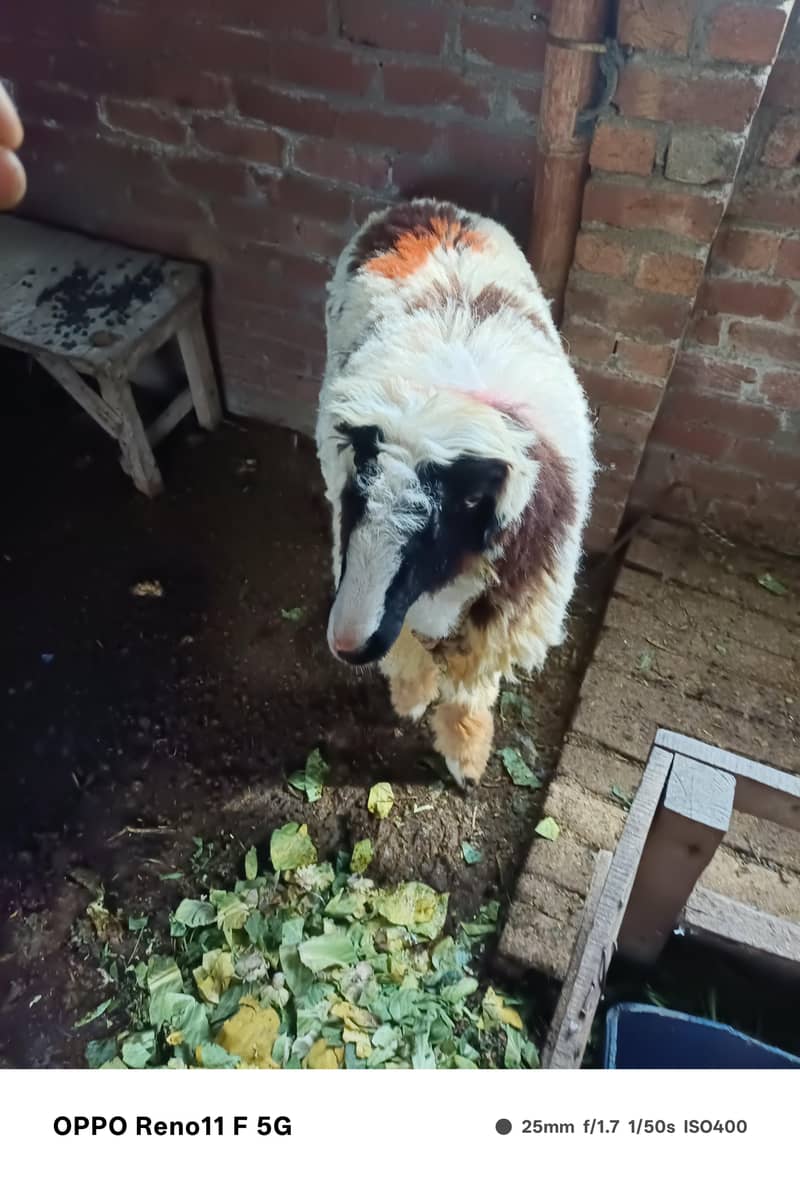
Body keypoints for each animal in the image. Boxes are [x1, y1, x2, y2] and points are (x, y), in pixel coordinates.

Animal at [316, 198, 595, 789]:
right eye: (355, 497)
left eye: (455, 509)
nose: (348, 645)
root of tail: (425, 206)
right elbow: (408, 652)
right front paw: (411, 699)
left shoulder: (510, 608)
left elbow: (470, 688)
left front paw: (466, 758)